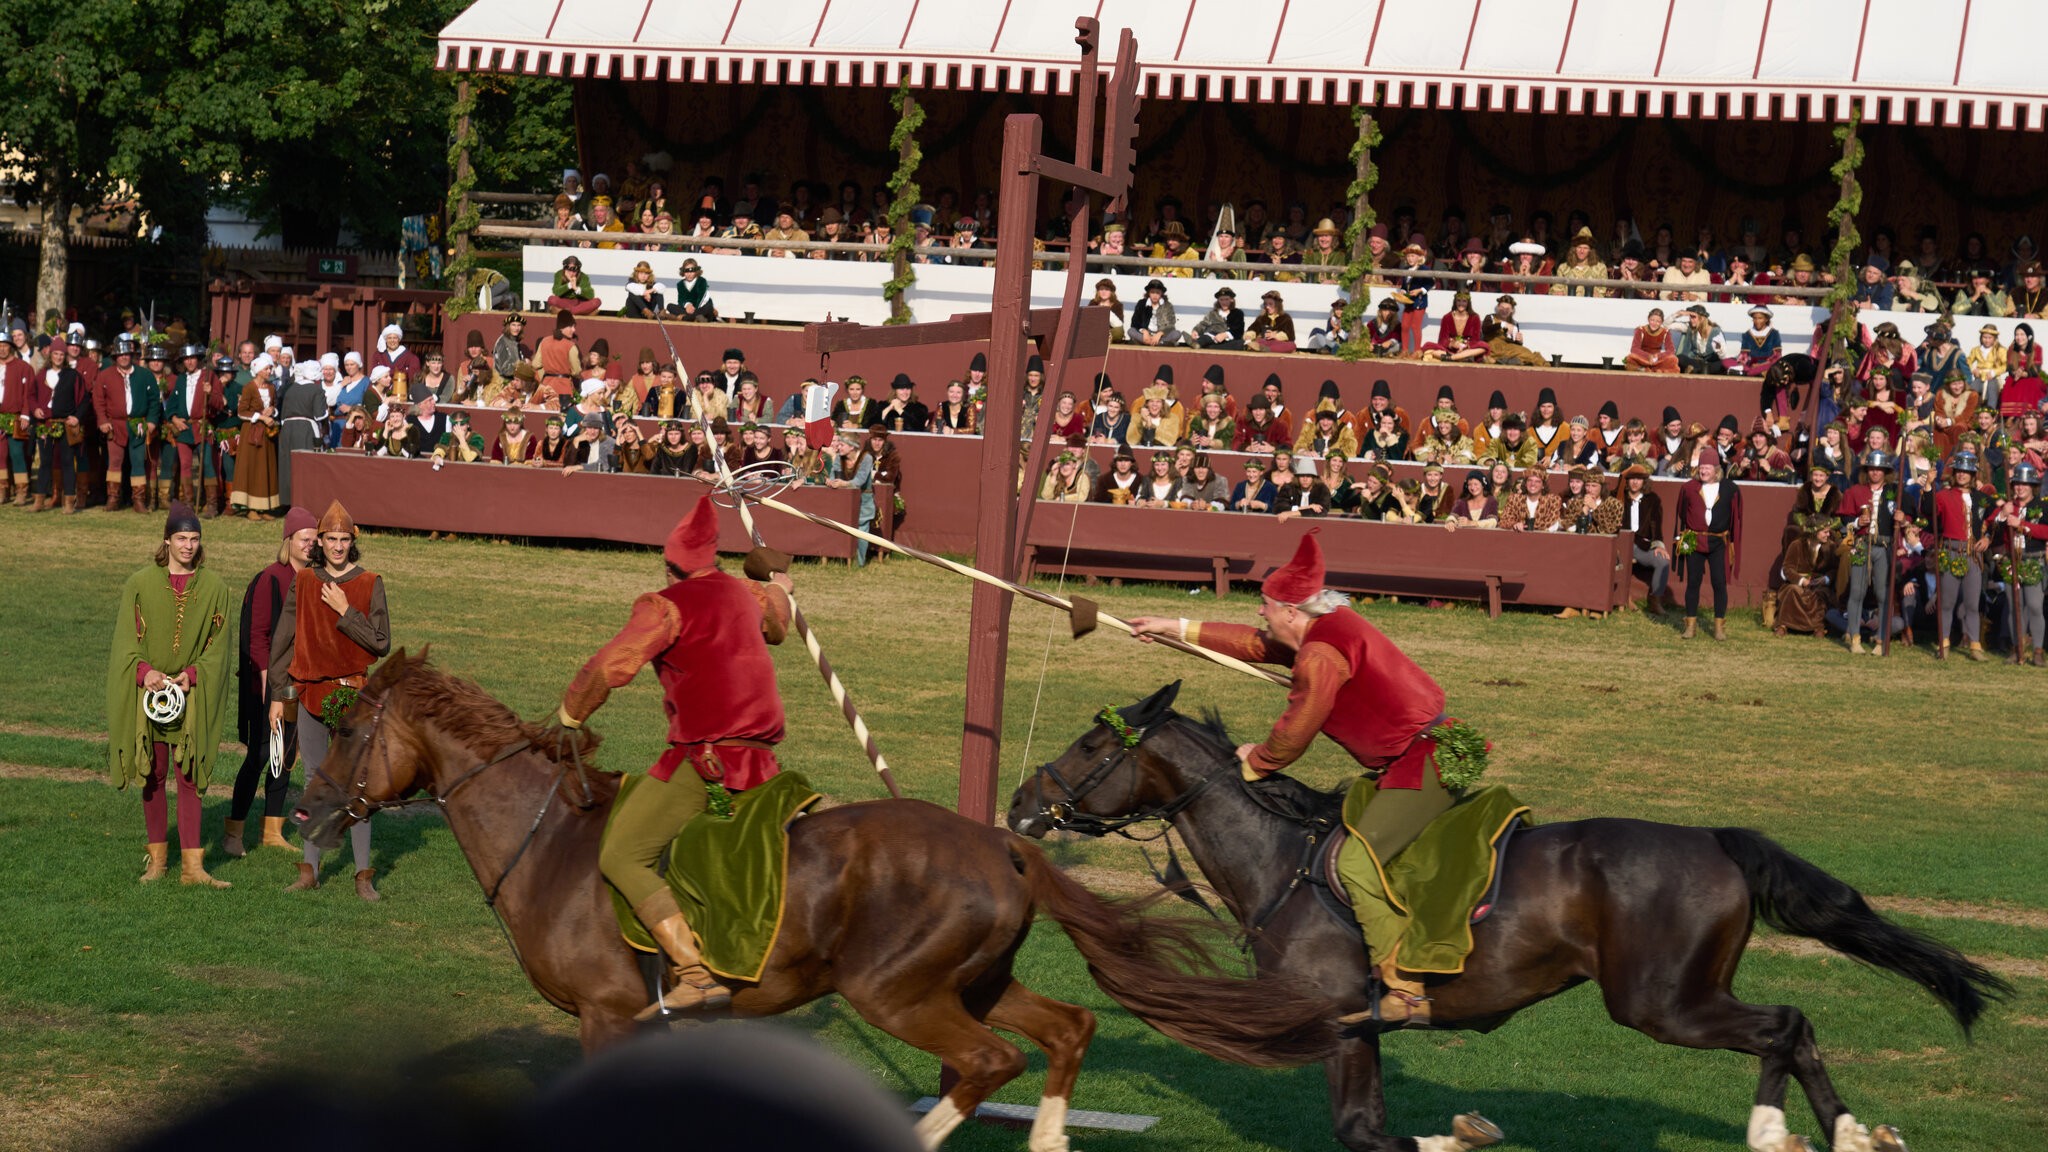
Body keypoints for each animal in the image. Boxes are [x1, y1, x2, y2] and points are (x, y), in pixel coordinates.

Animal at [292, 655, 1343, 1147]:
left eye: (343, 730)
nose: (304, 806)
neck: (551, 841)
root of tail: (998, 840)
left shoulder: (609, 1016)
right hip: (973, 982)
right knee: (1066, 1030)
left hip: (901, 993)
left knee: (989, 1061)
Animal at [999, 680, 2007, 1147]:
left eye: (1089, 743)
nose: (1019, 802)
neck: (1279, 859)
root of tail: (1717, 840)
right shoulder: (1361, 1027)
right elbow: (1369, 1126)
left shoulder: (1336, 1019)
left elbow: (1364, 1130)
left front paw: (1461, 1133)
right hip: (1684, 996)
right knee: (1790, 1030)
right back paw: (1841, 1133)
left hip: (1662, 1003)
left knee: (1784, 1024)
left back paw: (1797, 1131)